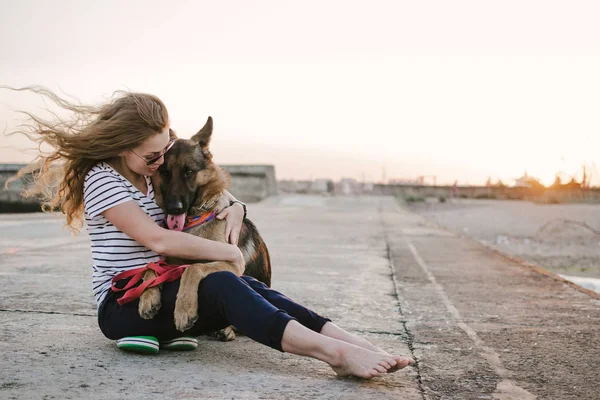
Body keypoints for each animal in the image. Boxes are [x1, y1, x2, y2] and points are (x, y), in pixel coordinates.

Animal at [137, 117, 270, 336]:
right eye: (165, 172)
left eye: (188, 172)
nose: (174, 208)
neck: (194, 221)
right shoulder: (169, 263)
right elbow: (151, 268)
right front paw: (148, 298)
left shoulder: (232, 263)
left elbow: (193, 268)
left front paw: (184, 310)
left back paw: (225, 330)